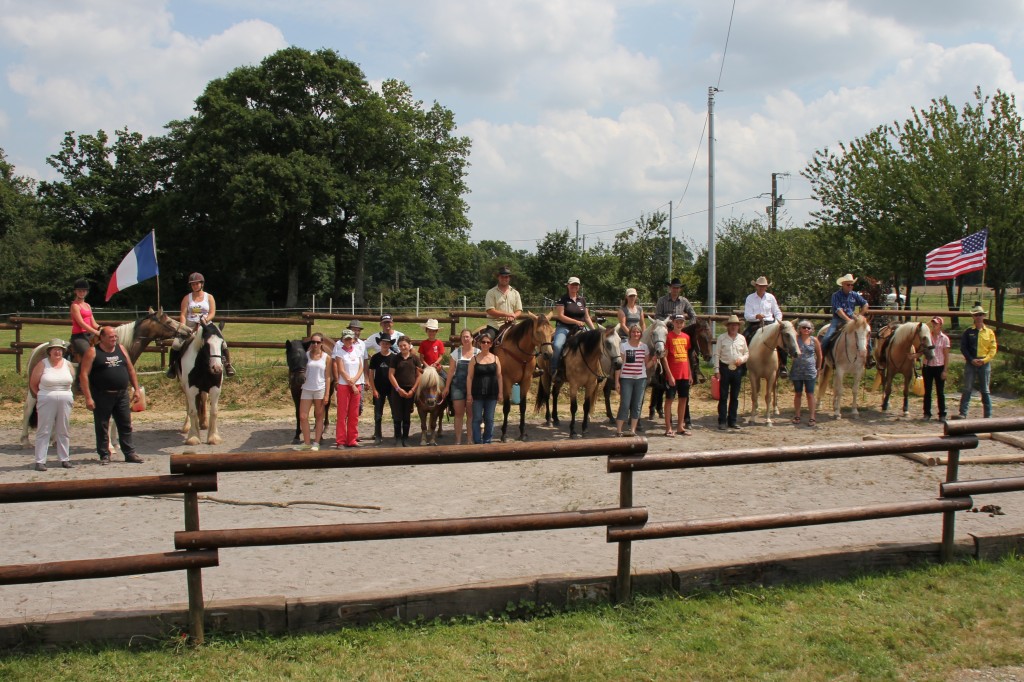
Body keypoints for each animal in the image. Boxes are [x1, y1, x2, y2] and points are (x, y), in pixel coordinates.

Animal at [18, 307, 191, 446]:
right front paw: (110, 444)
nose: (188, 331)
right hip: (34, 391)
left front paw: (115, 442)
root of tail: (37, 350)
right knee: (27, 409)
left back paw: (53, 440)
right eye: (168, 320)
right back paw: (25, 440)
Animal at [493, 309, 557, 440]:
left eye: (552, 331)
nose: (548, 354)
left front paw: (522, 433)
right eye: (538, 332)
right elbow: (506, 407)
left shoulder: (526, 381)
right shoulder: (506, 381)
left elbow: (523, 407)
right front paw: (504, 434)